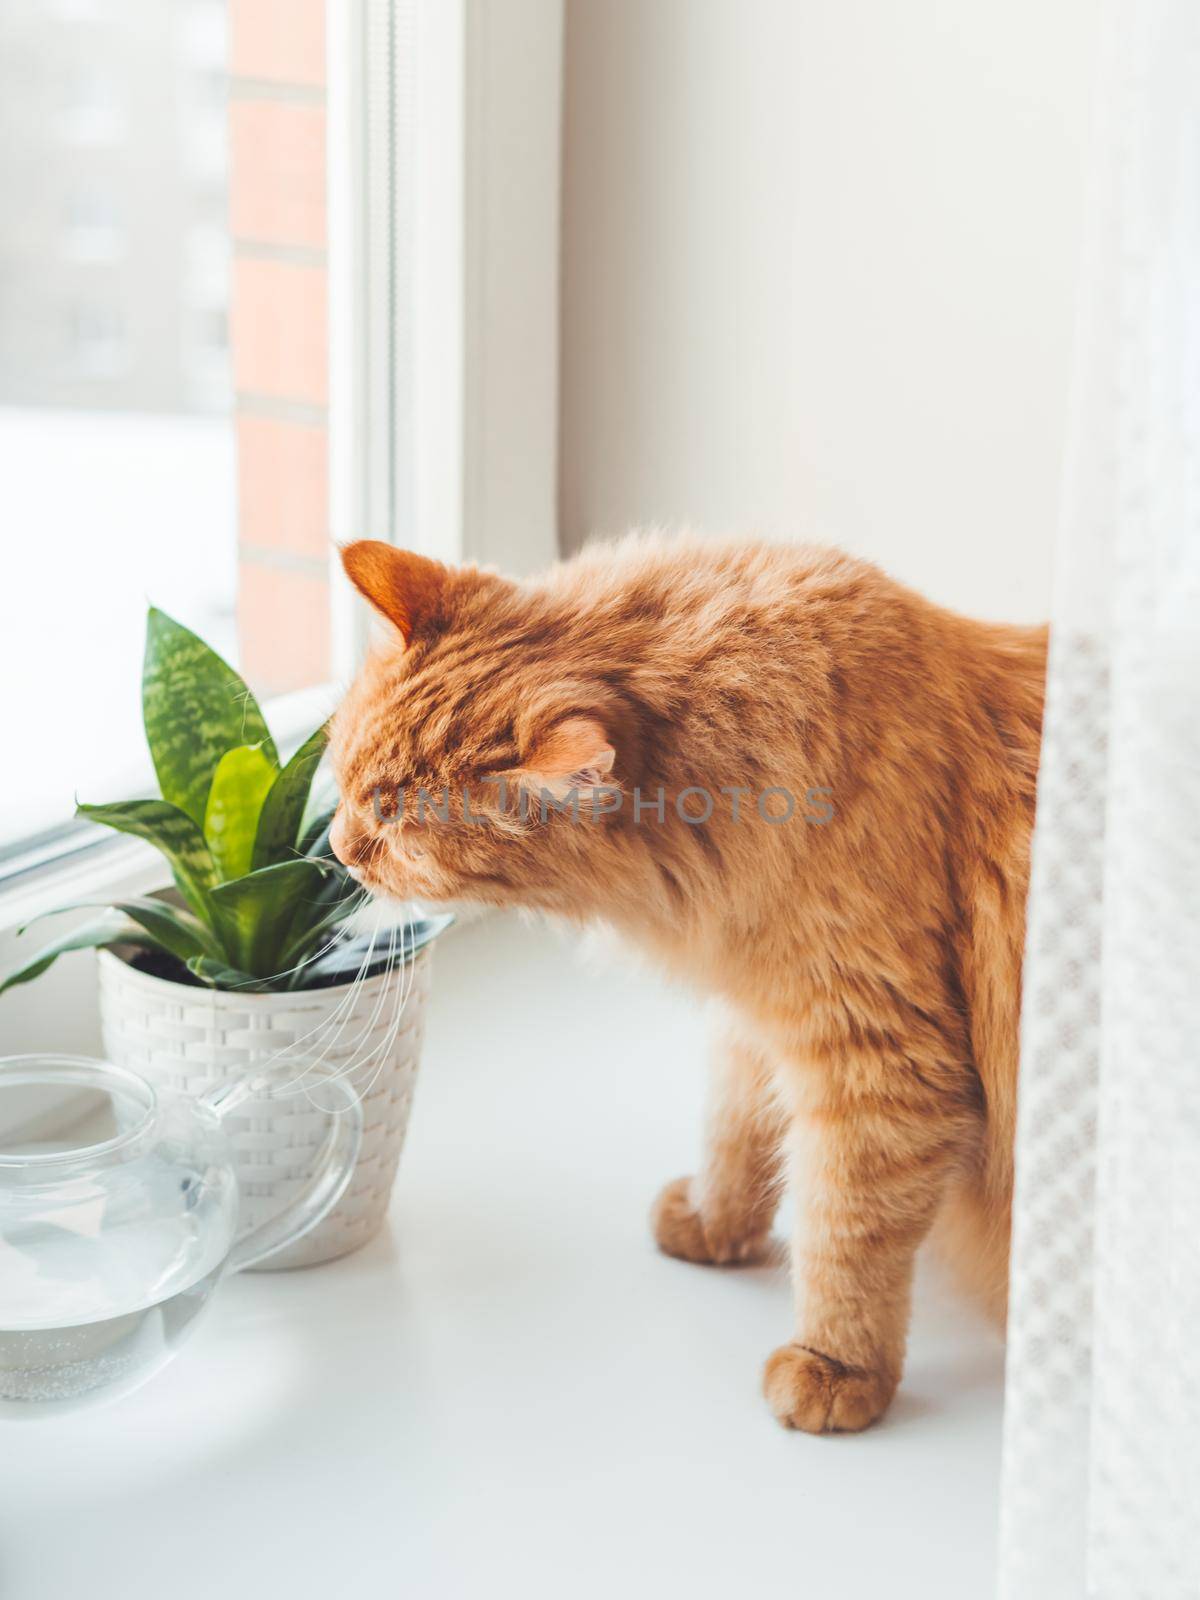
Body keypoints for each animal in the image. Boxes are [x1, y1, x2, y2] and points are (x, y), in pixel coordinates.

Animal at [334, 531, 1049, 1433]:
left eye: (395, 830)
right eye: (346, 780)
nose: (338, 849)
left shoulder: (878, 1060)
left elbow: (845, 1232)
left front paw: (837, 1367)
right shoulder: (756, 1011)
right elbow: (735, 1135)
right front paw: (714, 1227)